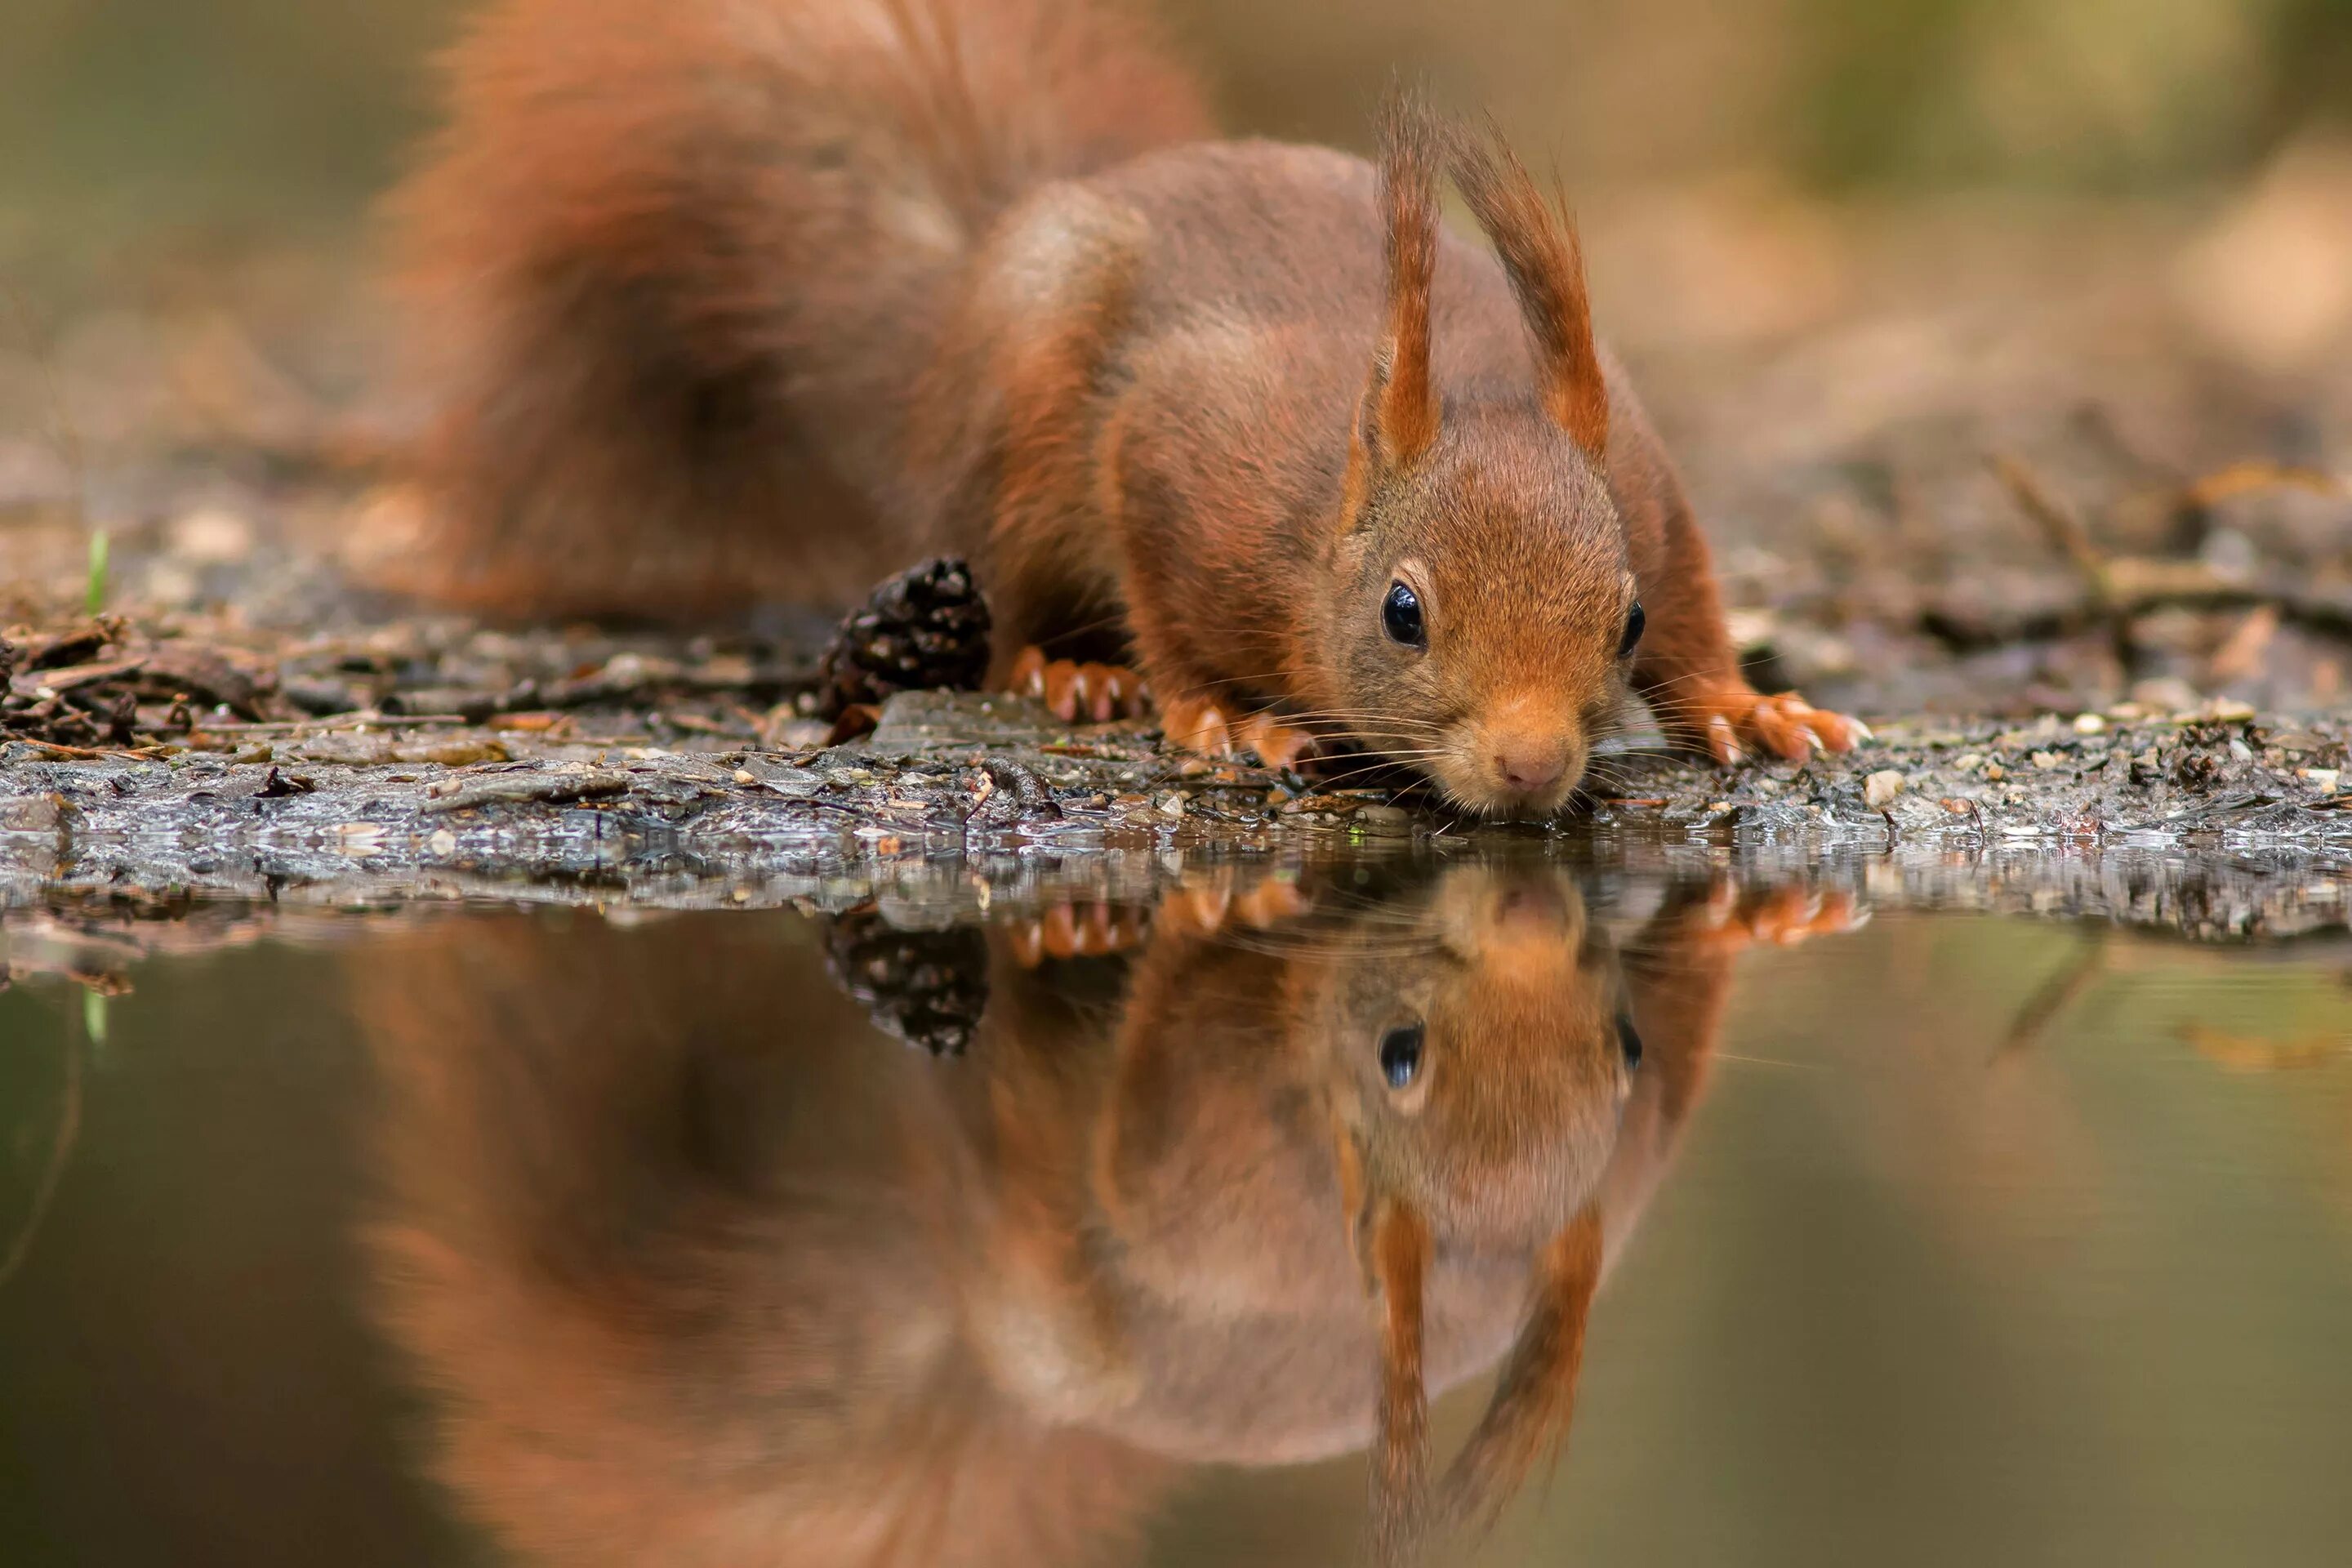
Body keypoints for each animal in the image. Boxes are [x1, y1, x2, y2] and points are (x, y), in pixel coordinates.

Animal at [409, 0, 1872, 817]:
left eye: (1623, 624)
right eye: (1402, 614)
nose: (1529, 769)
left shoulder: (1648, 483)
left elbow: (1700, 599)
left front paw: (1748, 706)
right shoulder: (1174, 459)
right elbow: (1161, 587)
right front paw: (1217, 713)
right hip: (1007, 466)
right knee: (1003, 598)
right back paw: (1062, 668)